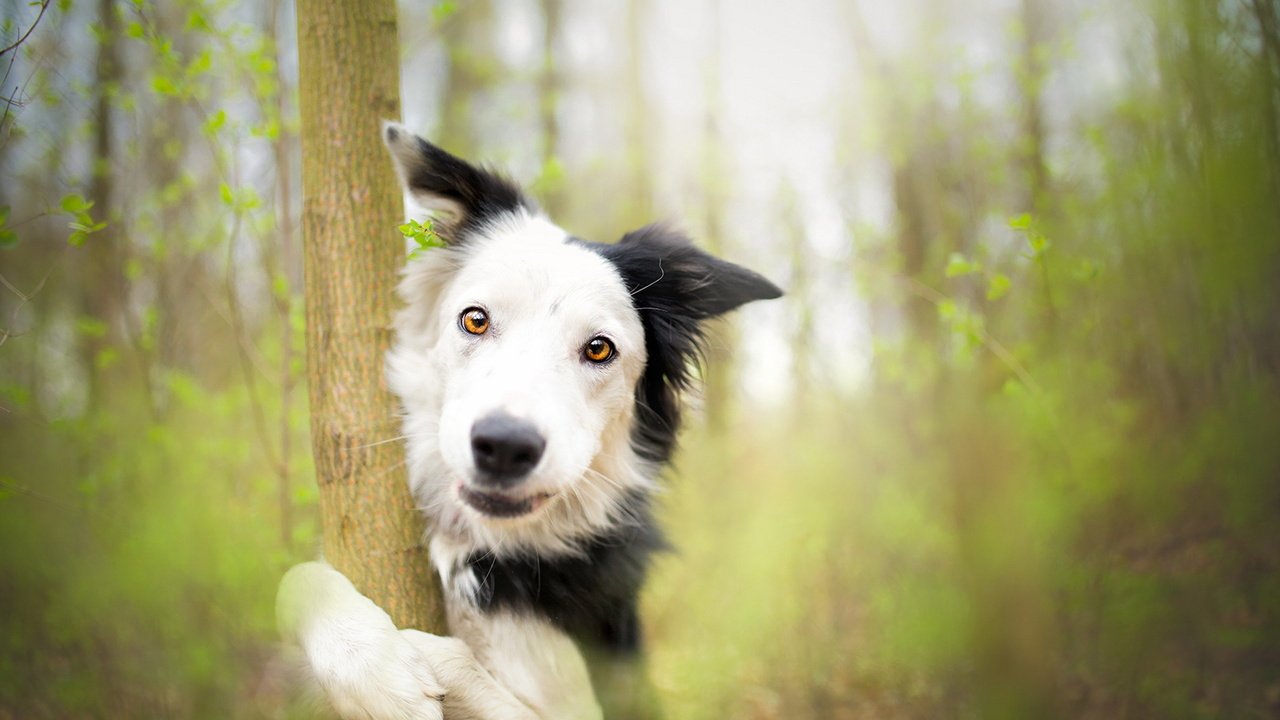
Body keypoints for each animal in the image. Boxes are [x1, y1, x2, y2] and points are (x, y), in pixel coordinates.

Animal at [280, 122, 778, 717]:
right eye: (475, 320)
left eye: (599, 349)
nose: (504, 446)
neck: (488, 548)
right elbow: (296, 576)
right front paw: (371, 665)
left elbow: (465, 667)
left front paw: (412, 661)